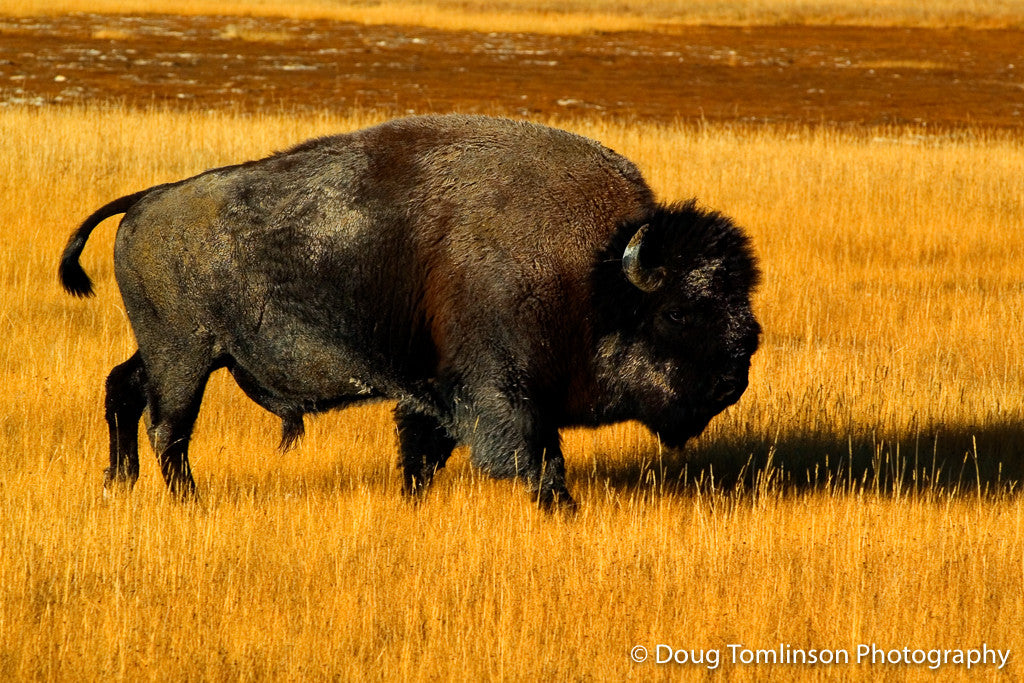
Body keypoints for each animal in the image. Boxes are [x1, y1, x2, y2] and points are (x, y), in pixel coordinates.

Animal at [59, 114, 760, 508]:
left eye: (740, 299)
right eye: (678, 313)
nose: (737, 372)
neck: (596, 274)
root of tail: (145, 200)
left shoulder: (432, 393)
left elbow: (422, 456)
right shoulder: (499, 393)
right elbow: (537, 461)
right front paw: (564, 509)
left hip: (169, 353)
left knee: (123, 391)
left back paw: (118, 483)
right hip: (183, 357)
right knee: (169, 430)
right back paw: (187, 503)